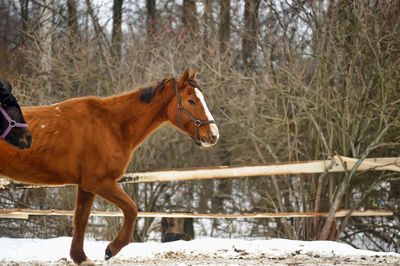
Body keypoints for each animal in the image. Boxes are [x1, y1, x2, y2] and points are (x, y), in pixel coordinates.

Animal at [0, 69, 219, 264]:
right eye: (191, 101)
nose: (213, 135)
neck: (112, 124)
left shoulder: (86, 187)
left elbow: (81, 219)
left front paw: (80, 258)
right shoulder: (99, 182)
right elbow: (131, 209)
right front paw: (111, 249)